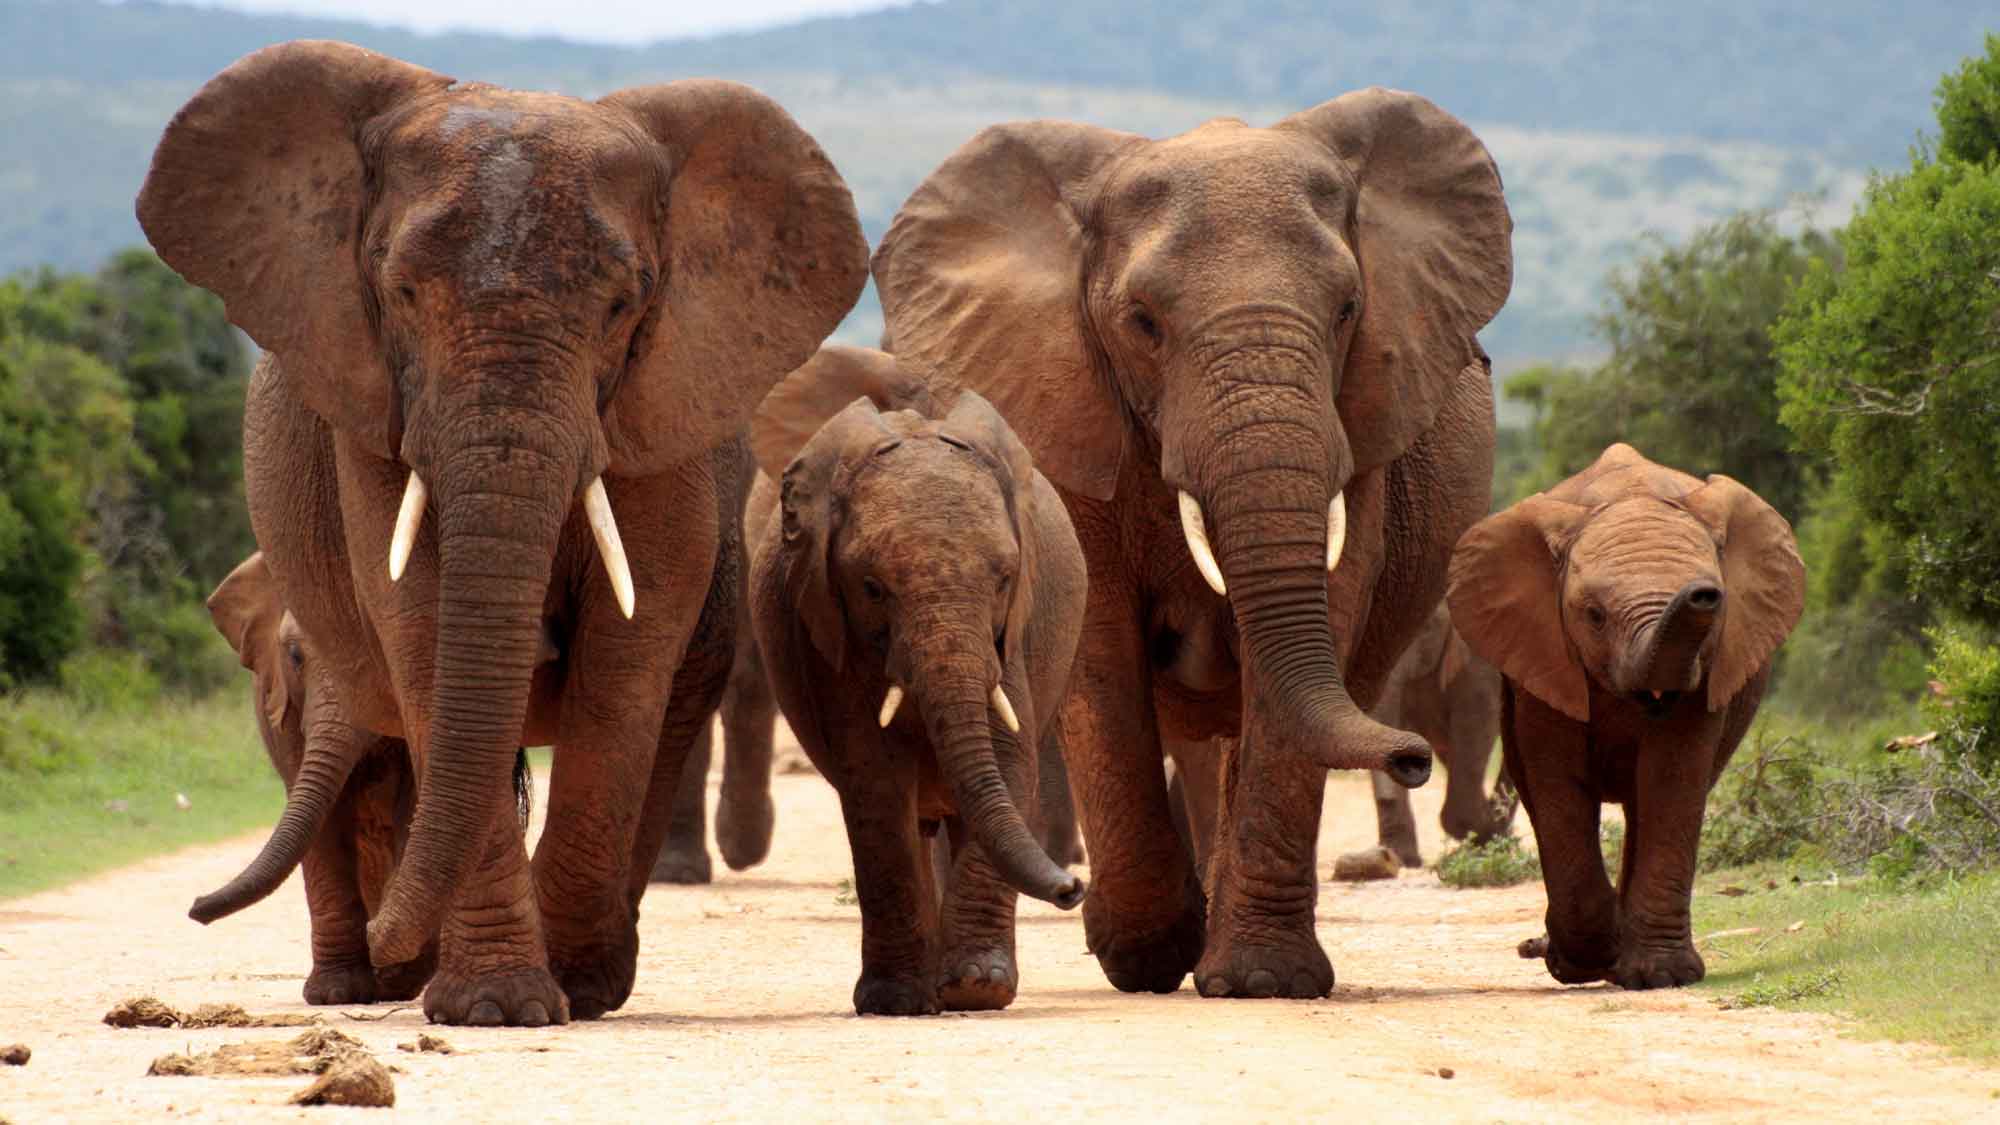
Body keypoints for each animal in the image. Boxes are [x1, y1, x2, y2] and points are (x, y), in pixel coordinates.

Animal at [198, 551, 535, 1005]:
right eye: (294, 655)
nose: (195, 909)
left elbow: (414, 804)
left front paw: (394, 973)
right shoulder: (282, 708)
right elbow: (319, 819)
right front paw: (335, 993)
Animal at [748, 345, 1088, 1015]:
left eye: (1005, 579)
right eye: (872, 588)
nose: (1073, 887)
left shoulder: (1013, 634)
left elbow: (1009, 759)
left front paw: (978, 989)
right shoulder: (827, 630)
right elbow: (874, 779)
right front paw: (897, 1000)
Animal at [872, 88, 1512, 997]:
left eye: (1349, 309)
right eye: (1142, 322)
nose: (1414, 756)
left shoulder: (1361, 430)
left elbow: (1320, 619)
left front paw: (1260, 980)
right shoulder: (1064, 409)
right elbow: (1100, 644)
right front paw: (1144, 954)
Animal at [1446, 443, 1804, 989]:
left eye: (1718, 606)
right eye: (1594, 615)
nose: (1703, 593)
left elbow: (1671, 779)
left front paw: (1661, 975)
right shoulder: (1545, 653)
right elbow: (1557, 782)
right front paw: (1581, 963)